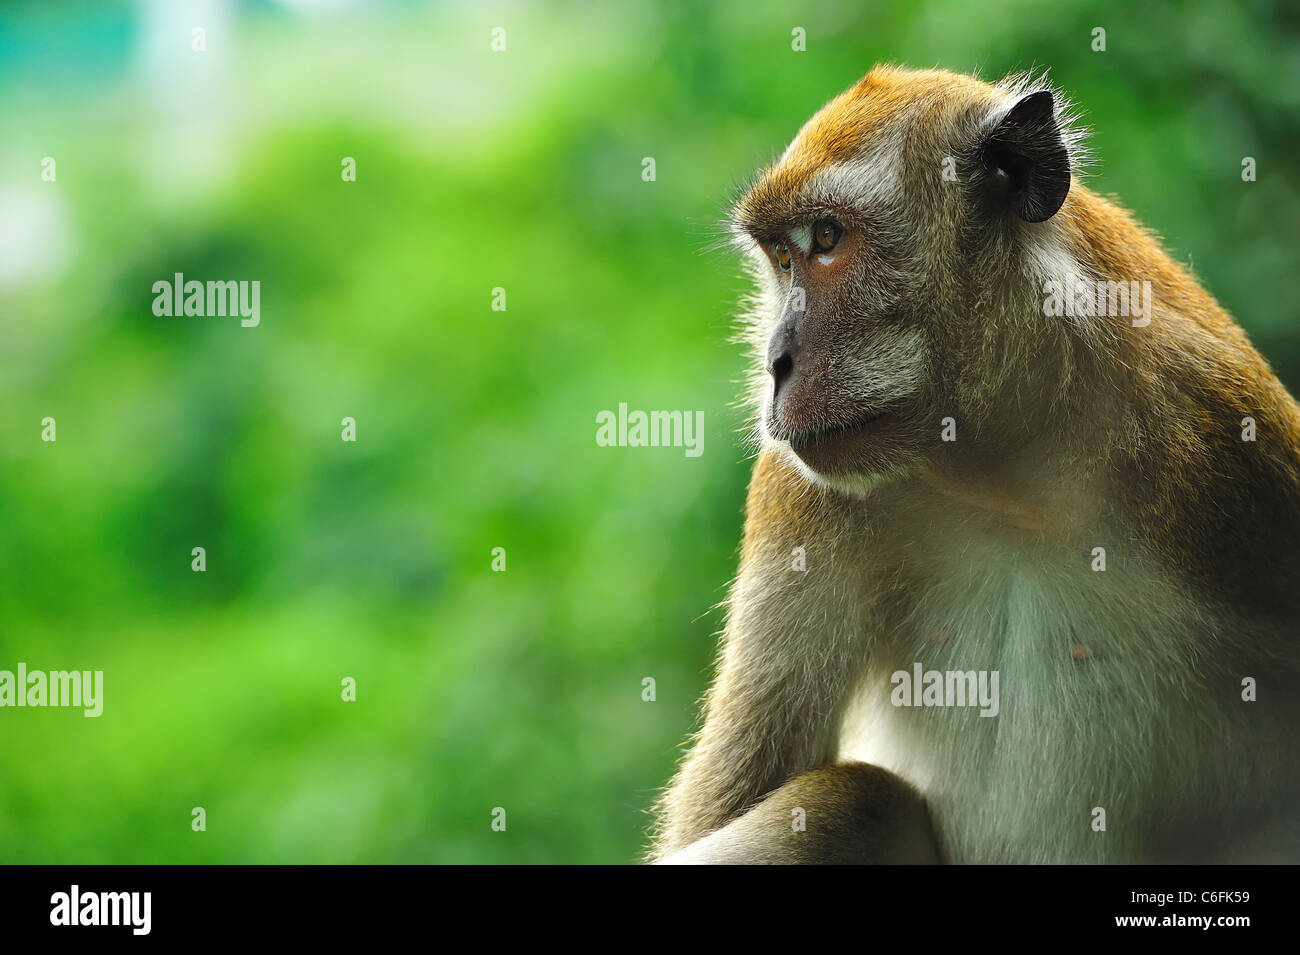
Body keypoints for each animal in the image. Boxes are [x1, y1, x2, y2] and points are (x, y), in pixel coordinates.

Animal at [650, 63, 1300, 862]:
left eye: (827, 239)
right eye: (781, 259)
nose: (776, 362)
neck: (1008, 467)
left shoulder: (1228, 445)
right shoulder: (800, 488)